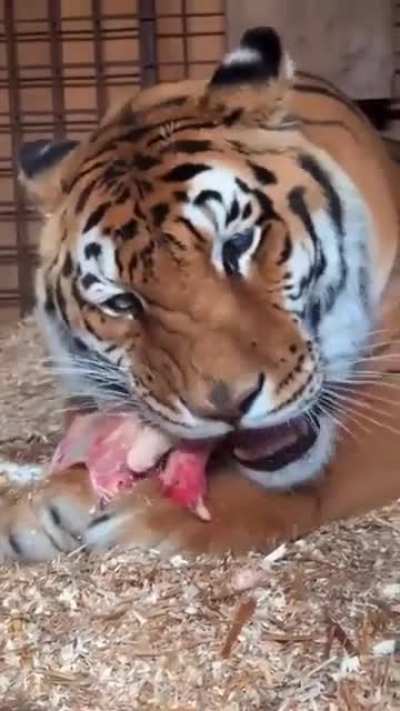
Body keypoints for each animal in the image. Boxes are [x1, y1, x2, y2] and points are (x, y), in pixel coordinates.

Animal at [3, 25, 400, 562]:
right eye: (123, 302)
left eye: (237, 245)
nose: (228, 406)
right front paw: (49, 504)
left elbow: (333, 458)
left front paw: (152, 516)